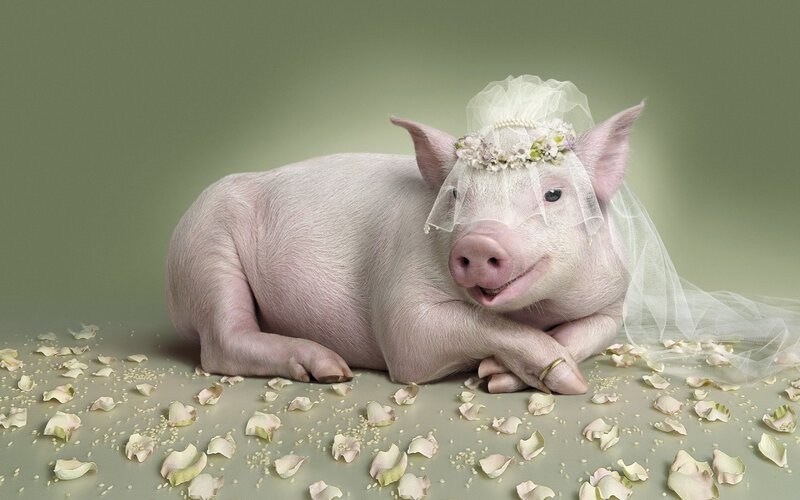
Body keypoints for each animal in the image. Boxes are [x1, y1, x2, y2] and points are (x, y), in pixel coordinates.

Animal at [166, 102, 644, 394]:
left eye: (553, 195)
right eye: (455, 196)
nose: (478, 241)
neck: (532, 312)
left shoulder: (614, 296)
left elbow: (590, 331)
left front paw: (497, 376)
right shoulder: (402, 305)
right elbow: (424, 336)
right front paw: (566, 382)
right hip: (205, 251)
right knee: (222, 341)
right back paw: (332, 370)